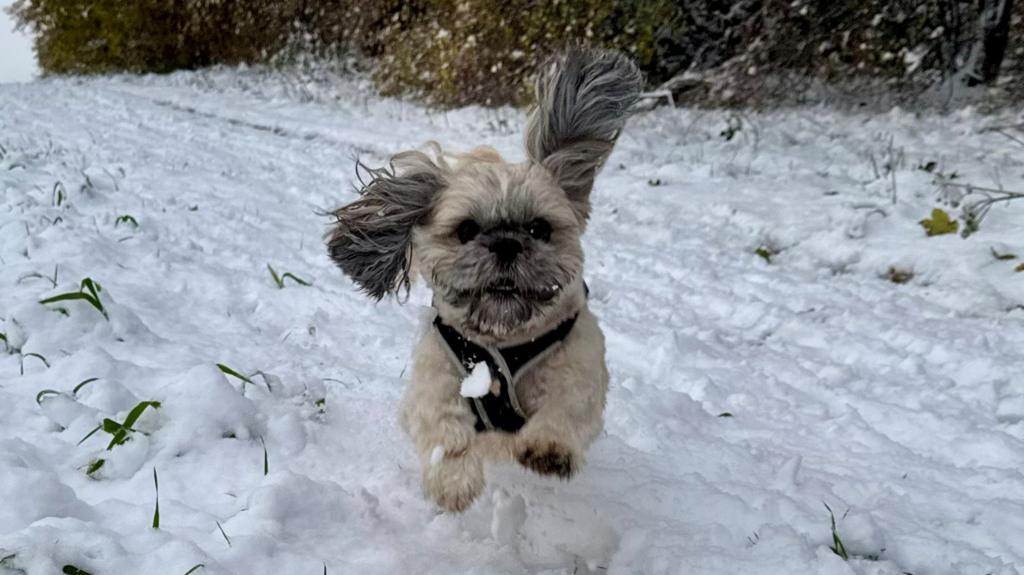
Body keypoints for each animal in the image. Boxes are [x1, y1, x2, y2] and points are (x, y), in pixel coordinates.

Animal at [325, 45, 638, 509]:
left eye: (539, 229)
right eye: (466, 229)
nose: (506, 244)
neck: (502, 342)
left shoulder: (577, 364)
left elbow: (567, 406)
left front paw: (550, 448)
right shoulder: (436, 374)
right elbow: (443, 426)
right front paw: (453, 480)